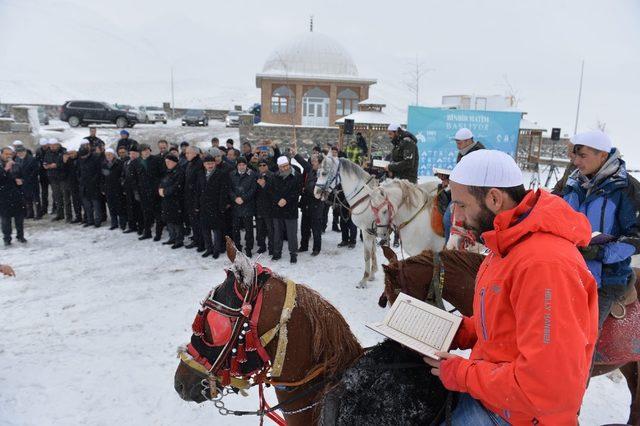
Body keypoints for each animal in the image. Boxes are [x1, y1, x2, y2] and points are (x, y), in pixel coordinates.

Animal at [314, 157, 380, 290]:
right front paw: (372, 274)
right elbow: (373, 251)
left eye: (324, 173)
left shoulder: (366, 231)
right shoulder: (371, 232)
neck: (365, 198)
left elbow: (367, 255)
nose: (316, 192)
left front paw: (364, 280)